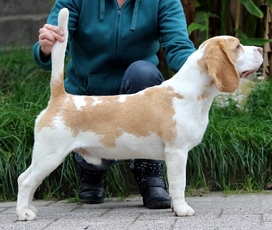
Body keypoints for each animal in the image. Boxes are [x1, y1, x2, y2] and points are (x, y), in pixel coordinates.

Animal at [15, 8, 262, 220]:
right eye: (238, 46)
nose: (261, 50)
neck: (190, 93)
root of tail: (61, 97)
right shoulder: (177, 152)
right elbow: (178, 185)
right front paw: (181, 209)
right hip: (49, 155)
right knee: (25, 180)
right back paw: (23, 213)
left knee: (28, 180)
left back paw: (29, 208)